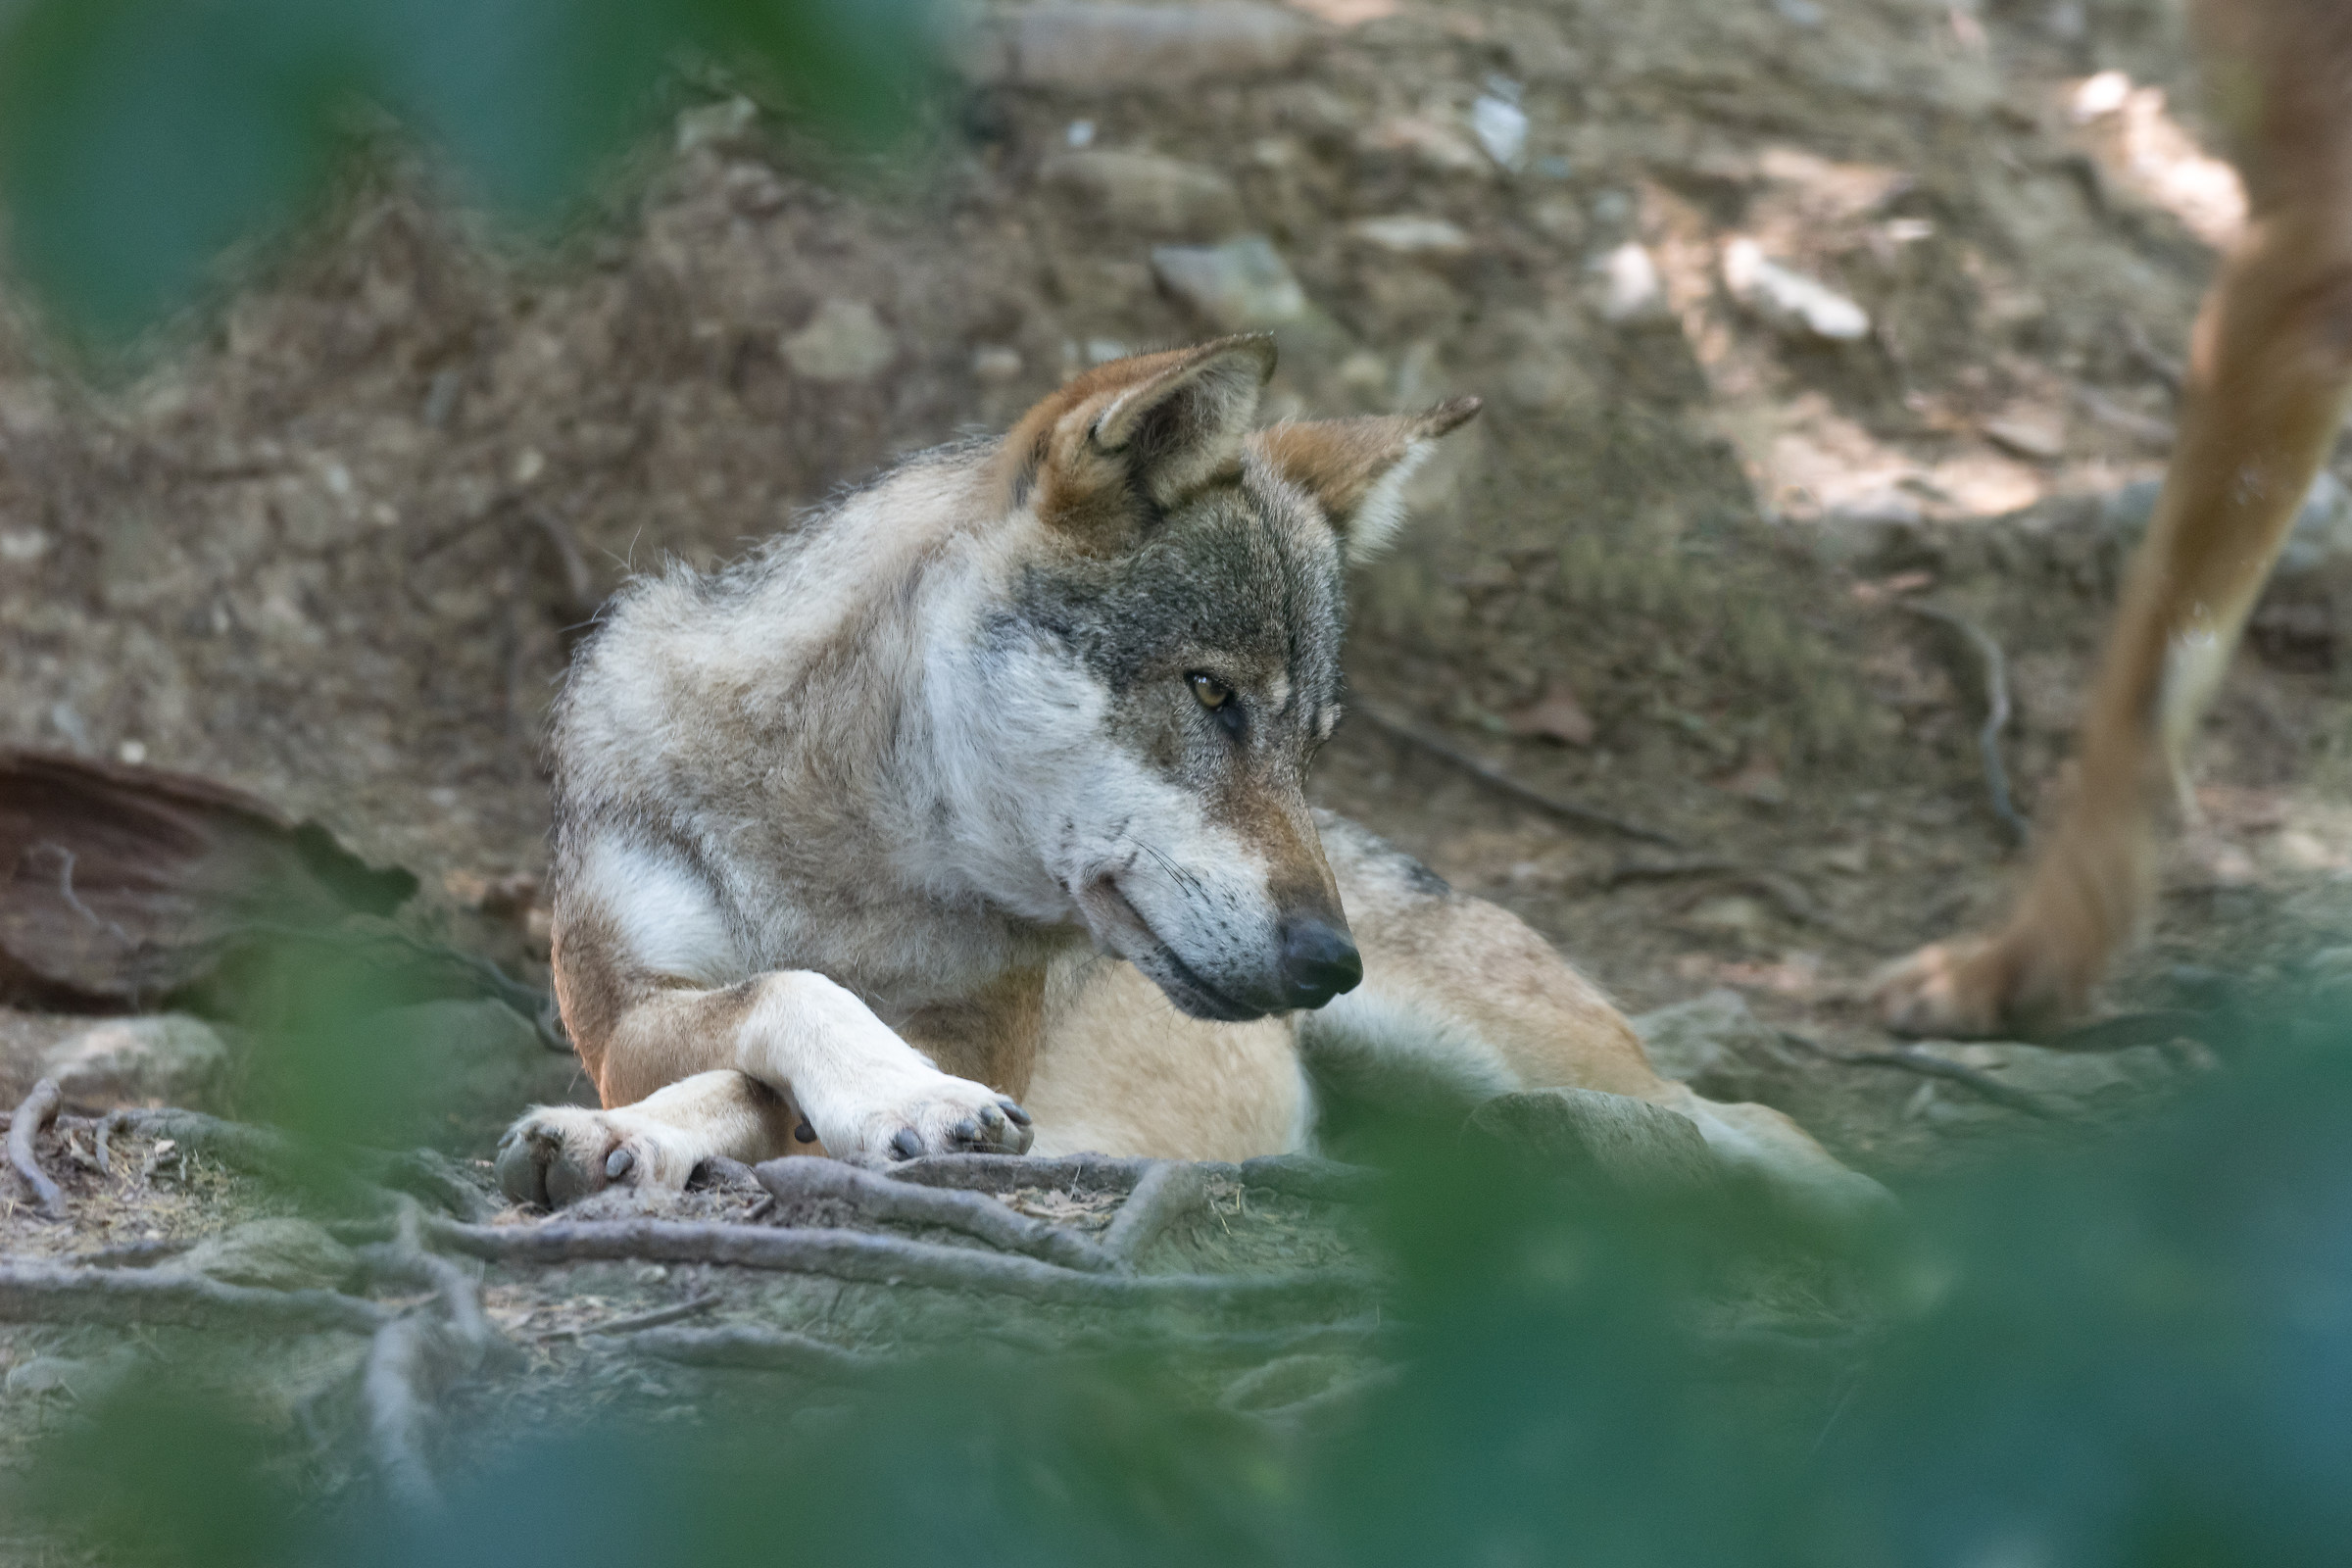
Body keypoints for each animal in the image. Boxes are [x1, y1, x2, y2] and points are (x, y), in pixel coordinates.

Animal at [497, 335, 1885, 1226]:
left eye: (1311, 740)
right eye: (1212, 693)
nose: (1333, 961)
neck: (844, 861)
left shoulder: (985, 1034)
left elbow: (780, 1039)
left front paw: (905, 1098)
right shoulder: (617, 1015)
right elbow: (767, 1018)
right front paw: (619, 1137)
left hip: (1512, 1053)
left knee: (1755, 1122)